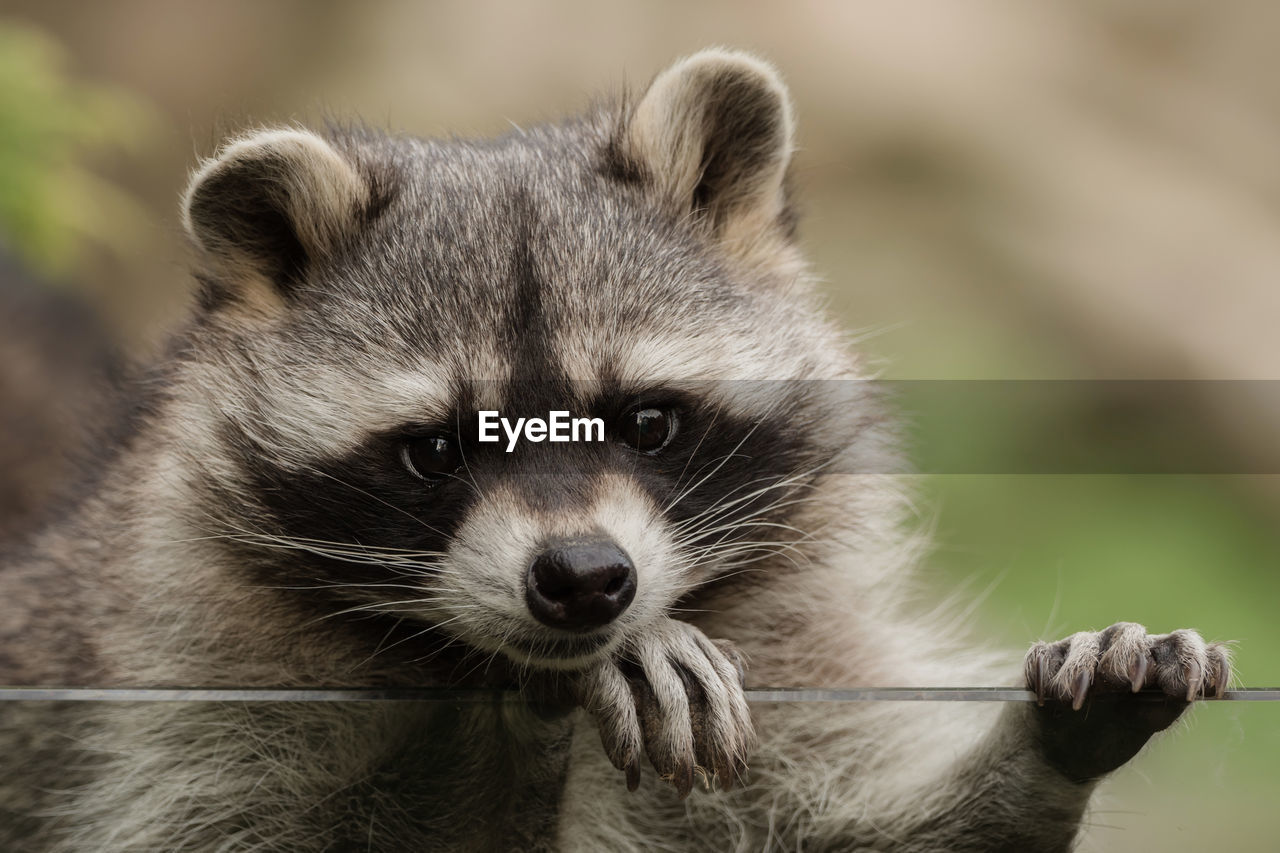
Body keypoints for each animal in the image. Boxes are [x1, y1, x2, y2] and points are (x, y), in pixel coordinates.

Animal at [2, 51, 1239, 850]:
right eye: (436, 450)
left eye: (645, 420)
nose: (585, 580)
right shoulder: (174, 711)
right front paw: (517, 734)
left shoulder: (792, 671)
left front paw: (1053, 738)